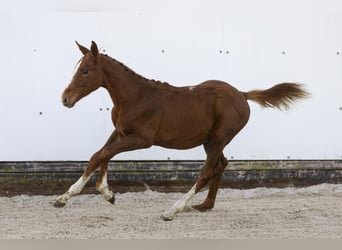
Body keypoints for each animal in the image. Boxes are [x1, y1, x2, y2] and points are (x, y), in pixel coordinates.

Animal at [54, 41, 308, 221]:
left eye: (85, 71)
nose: (65, 98)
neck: (134, 97)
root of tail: (242, 95)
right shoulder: (120, 132)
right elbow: (99, 155)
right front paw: (69, 198)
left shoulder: (142, 139)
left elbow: (104, 154)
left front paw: (102, 192)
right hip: (210, 141)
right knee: (221, 164)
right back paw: (205, 205)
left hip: (218, 139)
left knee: (207, 171)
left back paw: (173, 210)